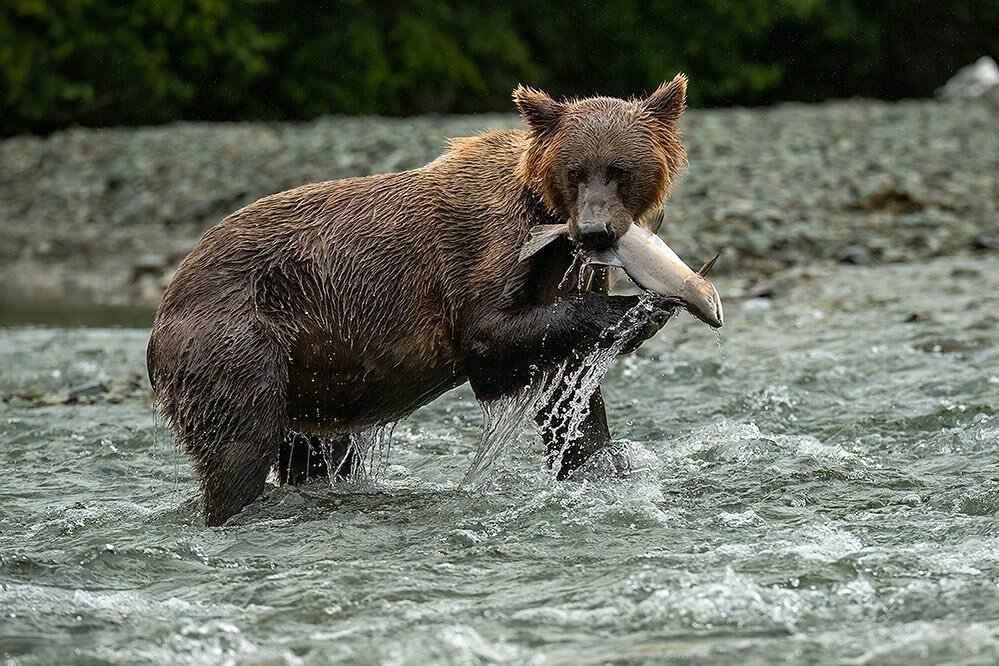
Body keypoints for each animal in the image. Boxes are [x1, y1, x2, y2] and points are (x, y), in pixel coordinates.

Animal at [148, 74, 712, 524]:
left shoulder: (564, 271)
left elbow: (566, 395)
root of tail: (171, 290)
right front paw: (645, 306)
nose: (595, 231)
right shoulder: (487, 247)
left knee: (316, 453)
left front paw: (595, 464)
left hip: (309, 374)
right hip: (238, 334)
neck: (547, 221)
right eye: (575, 172)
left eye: (621, 170)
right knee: (240, 445)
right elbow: (490, 335)